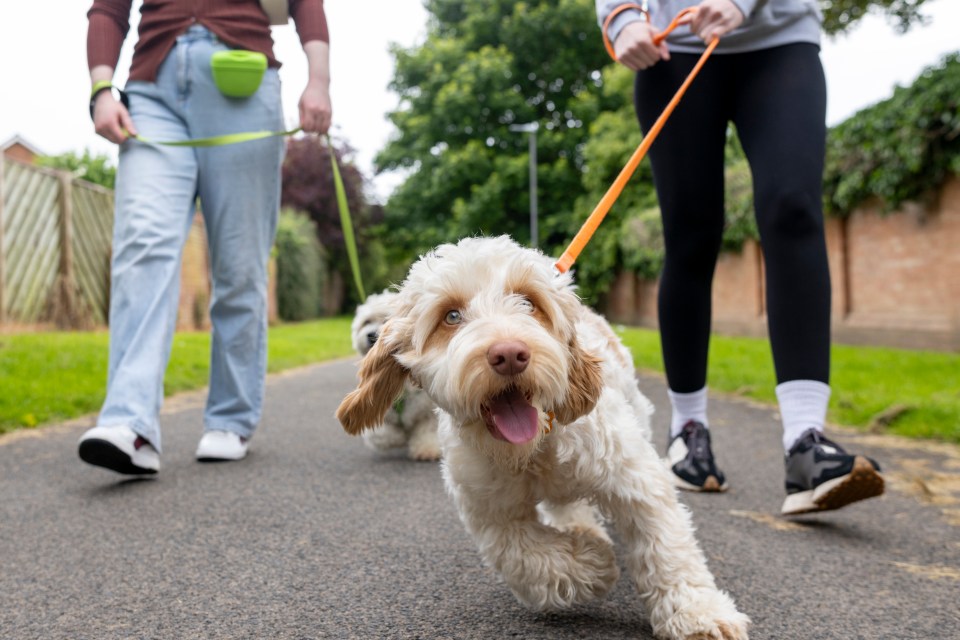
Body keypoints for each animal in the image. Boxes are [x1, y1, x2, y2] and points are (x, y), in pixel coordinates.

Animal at [350, 290, 440, 460]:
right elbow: (383, 435)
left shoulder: (426, 412)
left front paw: (426, 448)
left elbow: (426, 430)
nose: (371, 335)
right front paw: (400, 437)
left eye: (387, 320)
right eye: (366, 322)